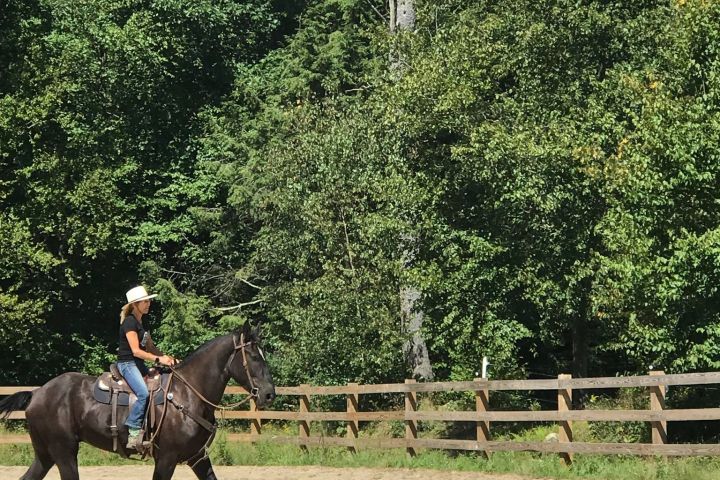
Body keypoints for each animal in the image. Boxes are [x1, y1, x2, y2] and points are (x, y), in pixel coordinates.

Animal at [0, 320, 275, 480]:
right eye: (253, 356)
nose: (269, 394)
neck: (189, 394)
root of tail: (37, 393)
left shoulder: (198, 458)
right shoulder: (166, 458)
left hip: (45, 454)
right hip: (64, 452)